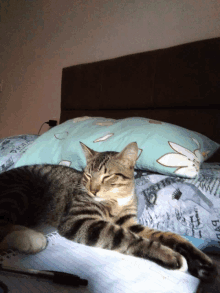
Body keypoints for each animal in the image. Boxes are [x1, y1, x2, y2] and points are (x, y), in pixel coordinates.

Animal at [0, 141, 217, 280]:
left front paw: (202, 262)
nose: (93, 190)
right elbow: (127, 237)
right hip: (19, 190)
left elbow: (167, 235)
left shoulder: (128, 222)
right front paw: (169, 255)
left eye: (107, 176)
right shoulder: (79, 220)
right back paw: (30, 239)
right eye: (88, 175)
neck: (116, 199)